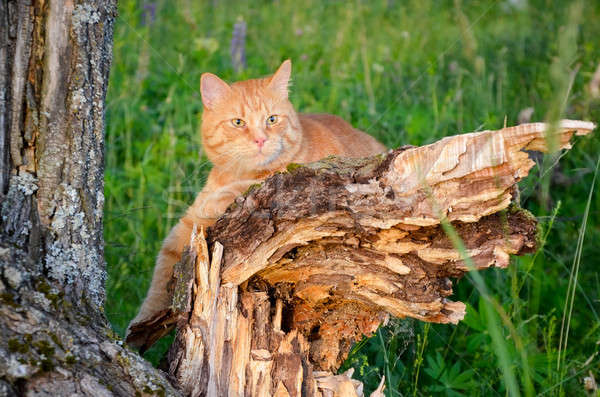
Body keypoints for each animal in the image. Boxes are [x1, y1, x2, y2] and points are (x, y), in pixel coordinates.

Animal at [129, 59, 386, 328]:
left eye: (272, 119)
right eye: (238, 122)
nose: (261, 140)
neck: (236, 174)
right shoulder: (186, 226)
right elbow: (161, 274)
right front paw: (139, 325)